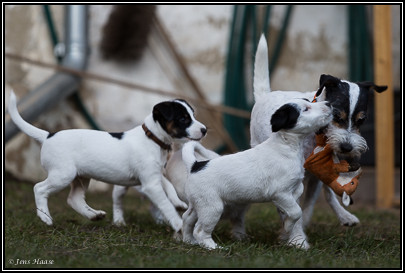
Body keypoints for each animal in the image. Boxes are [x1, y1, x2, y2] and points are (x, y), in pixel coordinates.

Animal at [7, 92, 207, 232]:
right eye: (183, 119)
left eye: (193, 115)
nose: (204, 129)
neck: (152, 138)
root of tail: (48, 135)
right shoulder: (150, 184)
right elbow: (165, 205)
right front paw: (178, 224)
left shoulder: (155, 176)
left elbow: (169, 187)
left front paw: (178, 202)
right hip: (63, 175)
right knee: (39, 188)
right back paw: (45, 217)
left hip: (81, 177)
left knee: (74, 199)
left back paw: (93, 215)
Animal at [182, 98, 332, 249]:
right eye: (306, 109)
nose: (329, 103)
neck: (287, 144)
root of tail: (195, 165)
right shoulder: (280, 193)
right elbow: (296, 211)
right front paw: (288, 226)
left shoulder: (293, 189)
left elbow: (295, 203)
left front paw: (287, 222)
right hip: (212, 207)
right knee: (200, 231)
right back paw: (213, 247)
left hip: (198, 205)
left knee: (187, 218)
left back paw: (188, 241)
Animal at [249, 35, 386, 226]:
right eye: (336, 115)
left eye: (361, 120)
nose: (346, 148)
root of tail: (264, 95)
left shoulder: (318, 175)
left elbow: (312, 202)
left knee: (328, 193)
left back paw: (344, 215)